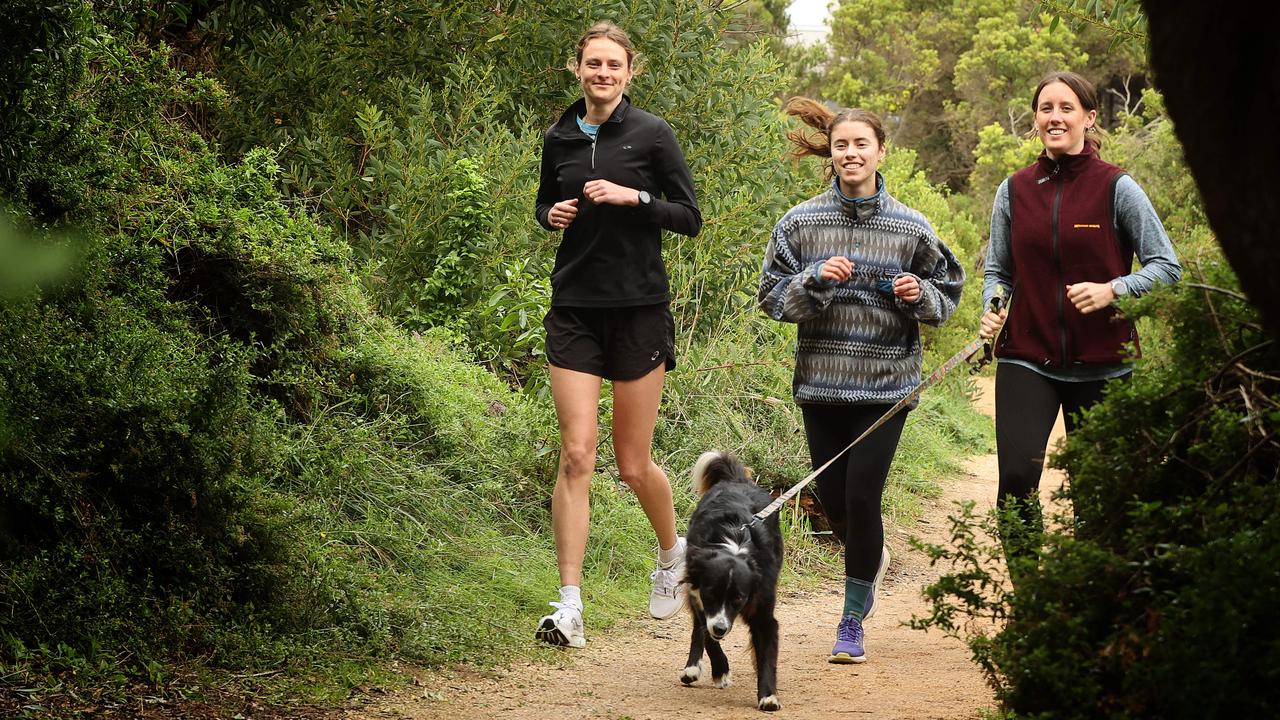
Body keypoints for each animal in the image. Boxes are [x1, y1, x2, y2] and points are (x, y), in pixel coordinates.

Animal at [680, 450, 778, 707]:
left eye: (738, 599)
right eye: (712, 593)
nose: (722, 628)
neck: (735, 544)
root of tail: (737, 480)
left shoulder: (763, 606)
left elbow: (767, 654)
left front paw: (768, 696)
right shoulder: (700, 596)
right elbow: (706, 634)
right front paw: (721, 670)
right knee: (698, 627)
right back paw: (692, 668)